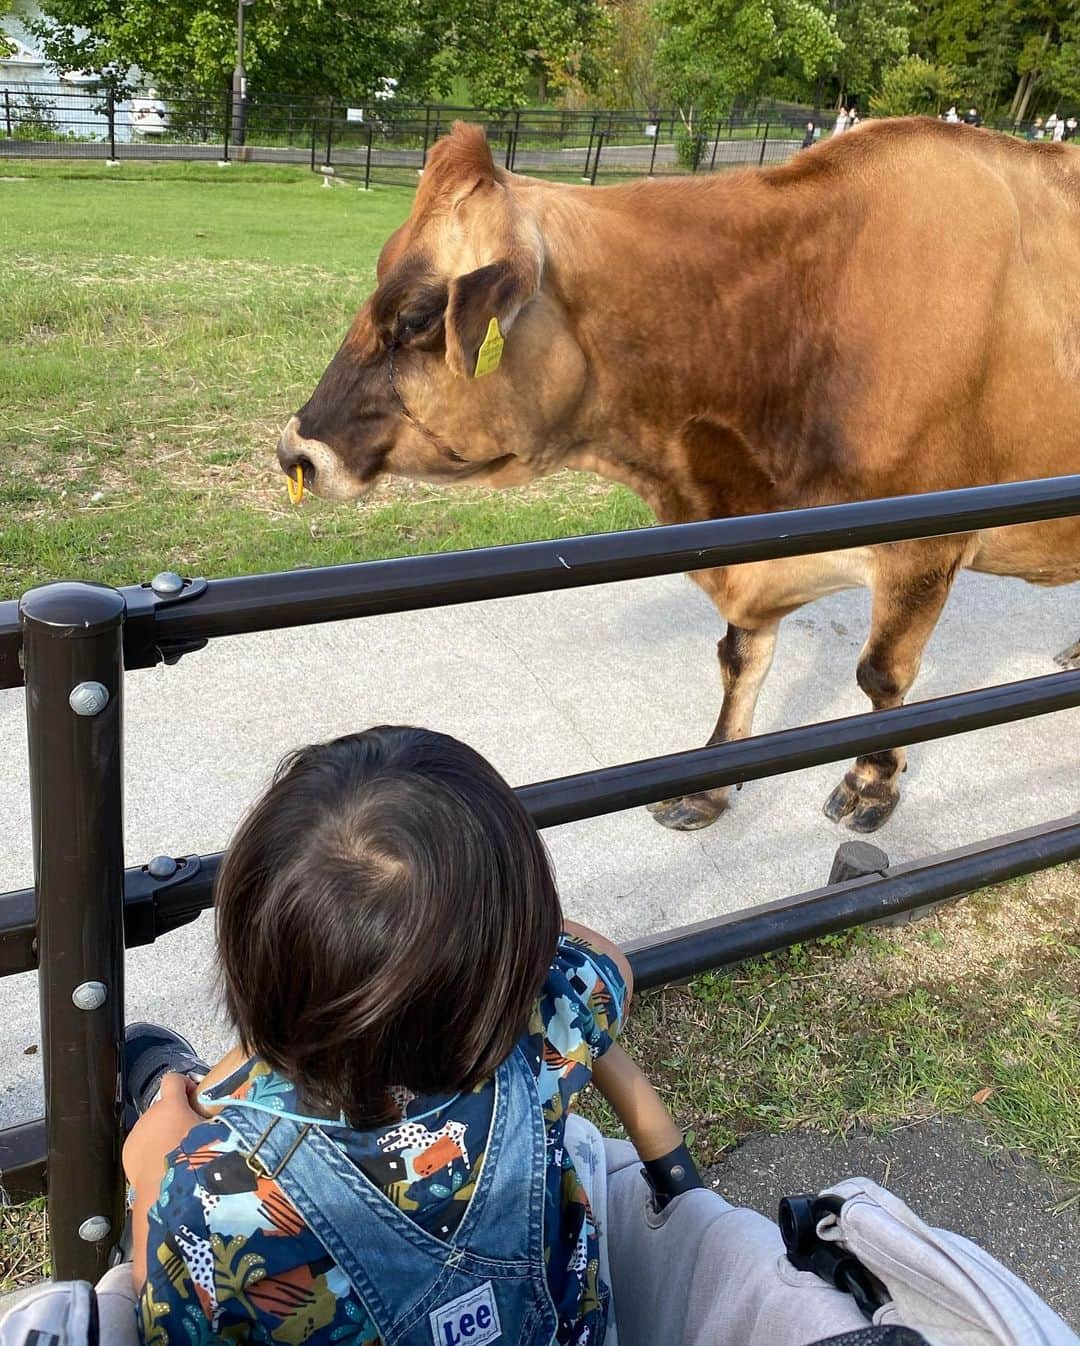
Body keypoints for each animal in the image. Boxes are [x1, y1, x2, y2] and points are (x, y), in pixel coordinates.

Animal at [277, 118, 1077, 829]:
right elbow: (739, 659)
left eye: (415, 315)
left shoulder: (925, 549)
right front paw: (709, 785)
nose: (296, 452)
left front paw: (871, 785)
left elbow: (882, 675)